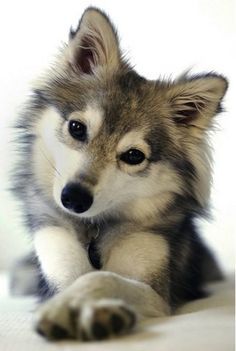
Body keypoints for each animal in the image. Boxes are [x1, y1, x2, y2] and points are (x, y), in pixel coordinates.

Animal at [12, 6, 227, 340]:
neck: (94, 230)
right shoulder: (57, 261)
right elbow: (73, 282)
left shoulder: (155, 290)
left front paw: (95, 311)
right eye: (77, 128)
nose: (74, 198)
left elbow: (101, 279)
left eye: (133, 156)